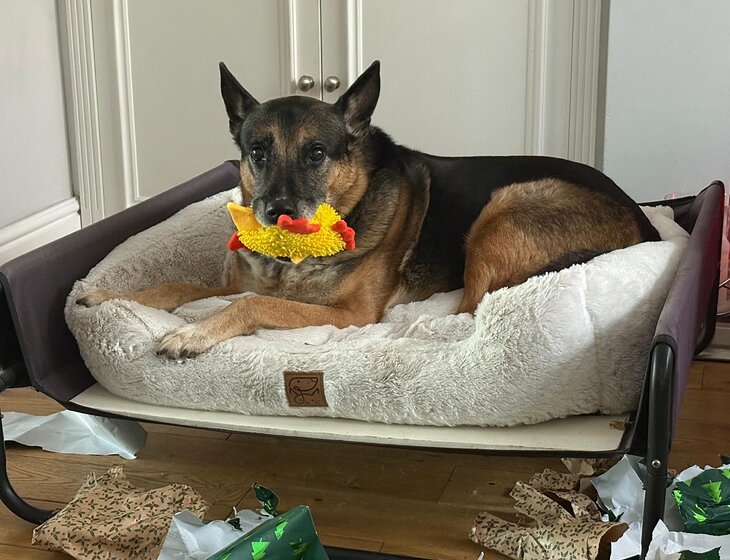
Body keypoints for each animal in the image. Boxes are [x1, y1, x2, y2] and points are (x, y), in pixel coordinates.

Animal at [78, 61, 660, 359]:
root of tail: (644, 220)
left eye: (316, 153)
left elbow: (251, 304)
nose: (276, 213)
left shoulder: (348, 314)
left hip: (504, 206)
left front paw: (192, 333)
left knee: (474, 310)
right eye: (257, 152)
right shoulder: (231, 281)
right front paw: (108, 296)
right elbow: (175, 286)